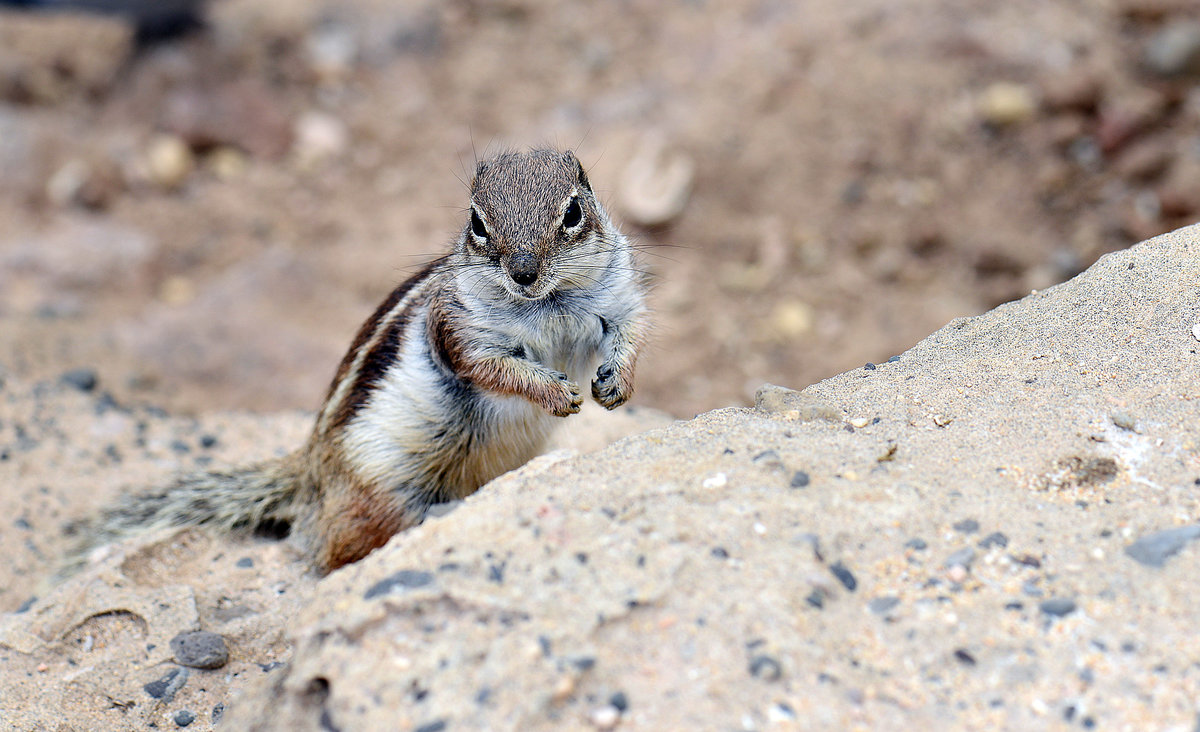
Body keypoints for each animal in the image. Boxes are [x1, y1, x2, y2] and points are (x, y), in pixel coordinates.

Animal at [65, 147, 648, 571]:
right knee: (332, 549)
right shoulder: (458, 328)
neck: (547, 303)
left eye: (573, 211)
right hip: (383, 489)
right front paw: (556, 391)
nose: (523, 270)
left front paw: (615, 385)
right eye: (478, 223)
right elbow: (491, 367)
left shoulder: (619, 297)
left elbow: (631, 333)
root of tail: (310, 474)